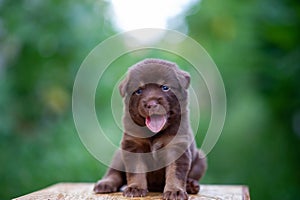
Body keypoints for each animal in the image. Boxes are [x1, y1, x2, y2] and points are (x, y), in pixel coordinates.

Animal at [94, 58, 206, 199]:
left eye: (165, 87)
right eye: (139, 91)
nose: (151, 104)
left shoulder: (176, 145)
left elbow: (175, 172)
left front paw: (175, 191)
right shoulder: (133, 145)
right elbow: (136, 169)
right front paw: (135, 188)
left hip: (201, 159)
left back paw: (191, 185)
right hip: (119, 155)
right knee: (114, 172)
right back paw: (105, 184)